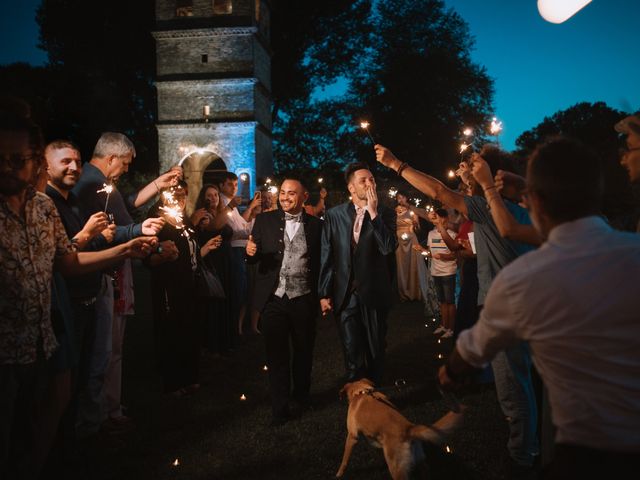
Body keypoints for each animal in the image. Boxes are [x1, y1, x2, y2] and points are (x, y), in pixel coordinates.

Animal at [336, 378, 464, 480]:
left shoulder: (352, 436)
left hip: (397, 469)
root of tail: (408, 429)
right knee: (426, 470)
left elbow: (344, 460)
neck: (361, 392)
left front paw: (339, 474)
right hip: (420, 459)